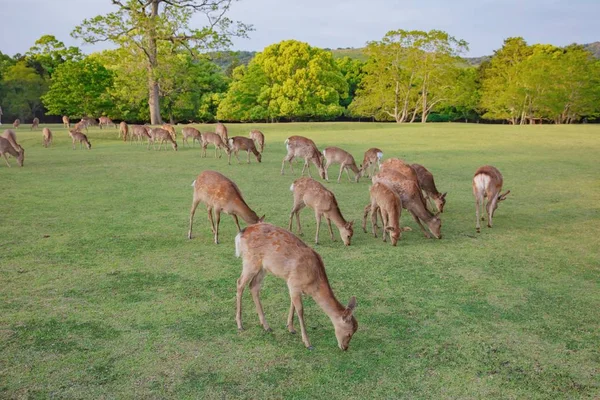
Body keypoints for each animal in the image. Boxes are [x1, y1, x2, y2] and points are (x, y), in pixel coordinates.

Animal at [233, 223, 356, 352]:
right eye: (349, 333)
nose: (345, 347)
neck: (313, 284)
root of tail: (241, 232)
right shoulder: (293, 283)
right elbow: (300, 310)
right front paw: (307, 343)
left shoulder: (294, 286)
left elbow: (293, 304)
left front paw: (290, 328)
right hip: (250, 261)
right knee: (240, 283)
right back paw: (240, 325)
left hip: (263, 268)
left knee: (253, 286)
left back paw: (266, 326)